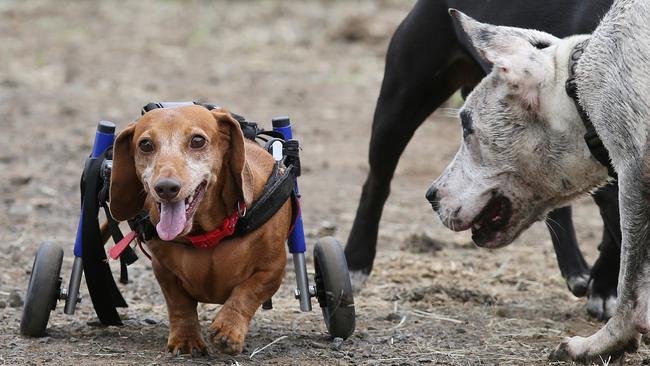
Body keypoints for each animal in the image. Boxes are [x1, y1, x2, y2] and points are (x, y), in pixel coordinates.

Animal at [426, 0, 648, 360]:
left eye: (466, 124)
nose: (430, 195)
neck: (576, 93)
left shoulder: (635, 172)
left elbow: (630, 285)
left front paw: (603, 342)